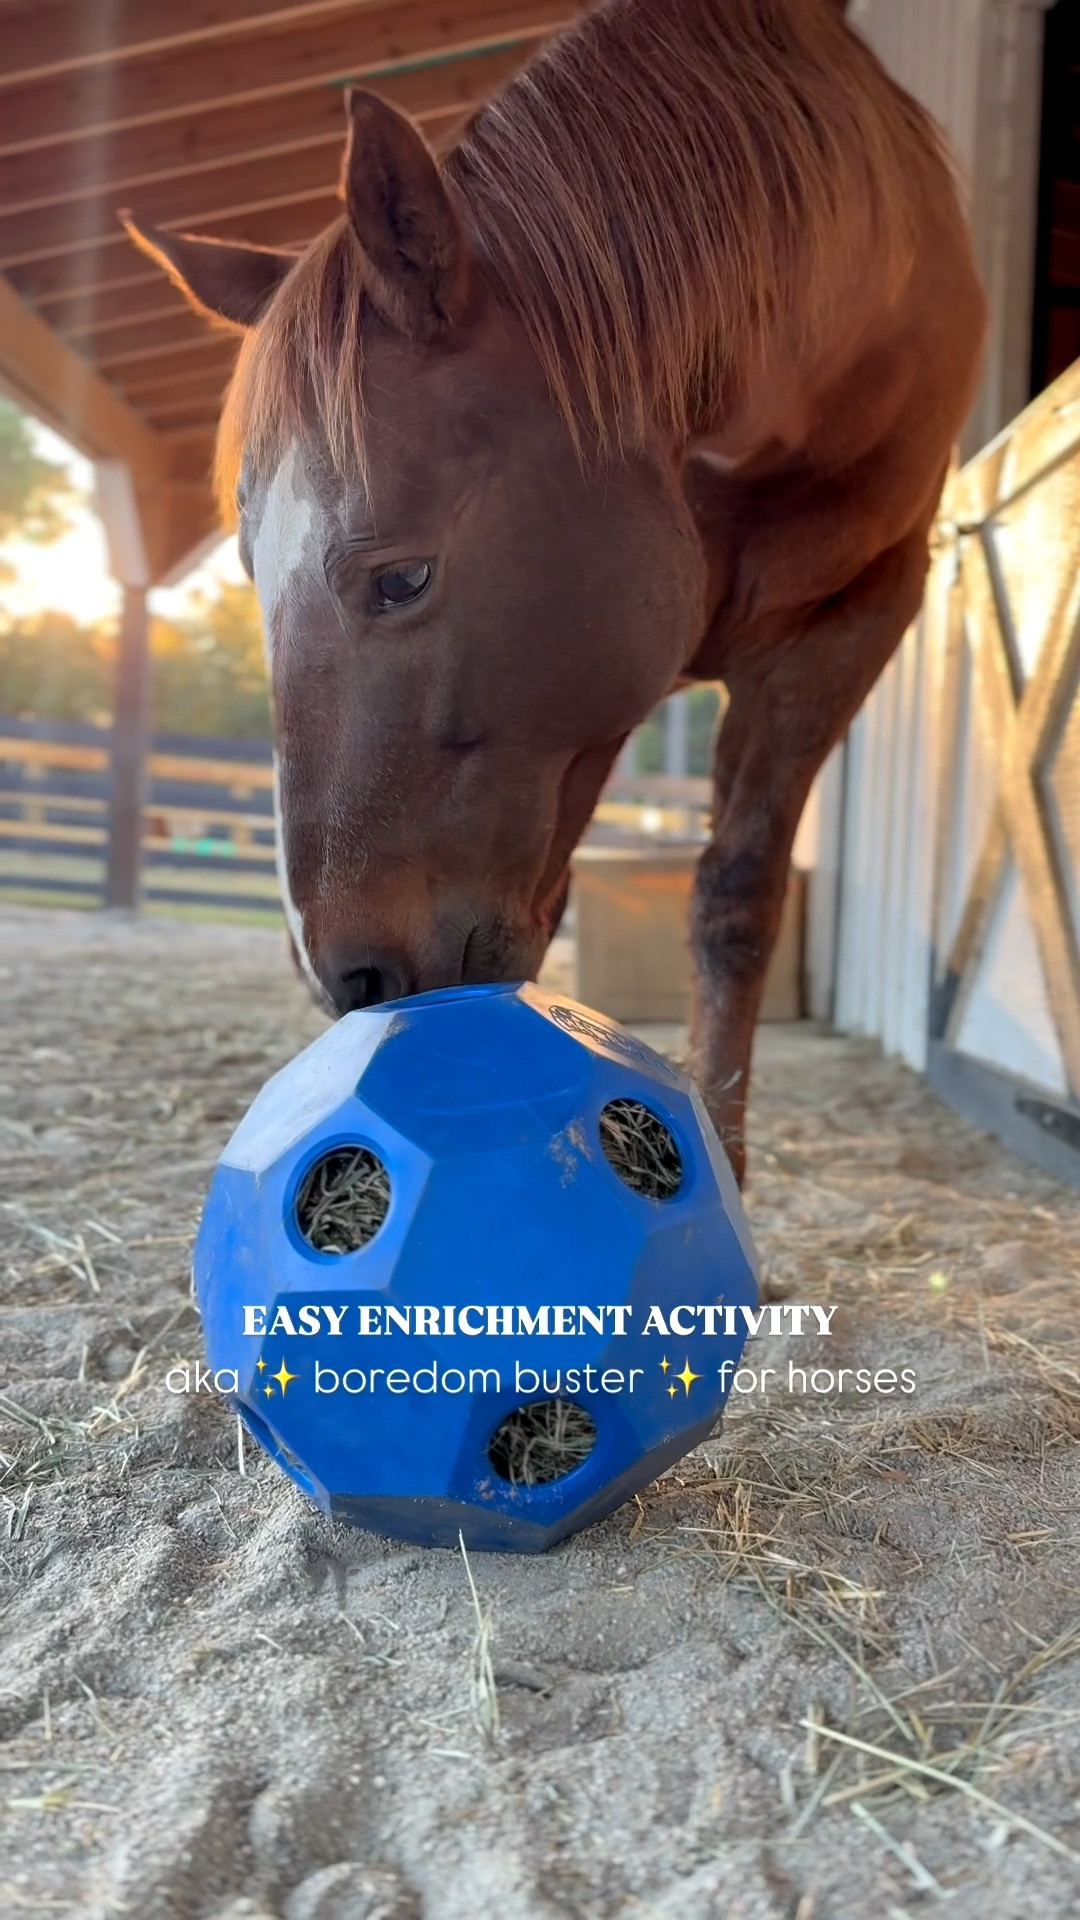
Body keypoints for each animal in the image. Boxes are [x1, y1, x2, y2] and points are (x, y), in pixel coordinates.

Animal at [126, 0, 985, 1183]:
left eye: (402, 577)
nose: (348, 980)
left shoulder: (850, 616)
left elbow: (735, 899)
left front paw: (722, 1158)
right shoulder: (582, 710)